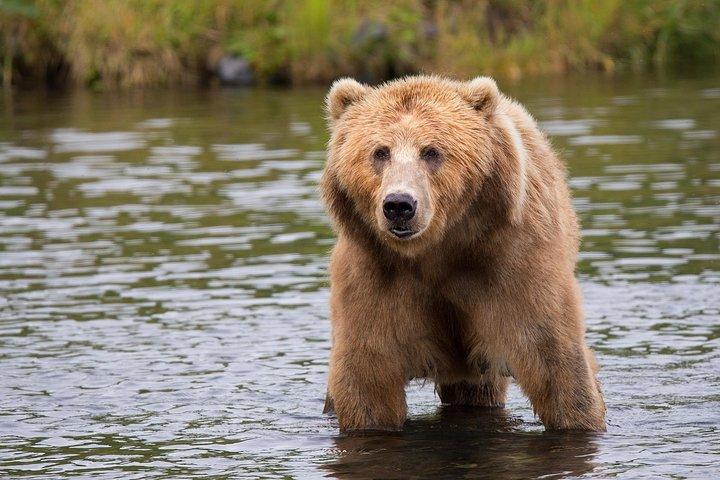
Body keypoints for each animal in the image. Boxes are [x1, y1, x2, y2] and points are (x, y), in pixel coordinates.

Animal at [319, 75, 606, 432]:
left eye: (431, 151)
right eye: (380, 152)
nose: (399, 205)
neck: (438, 250)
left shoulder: (513, 263)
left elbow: (554, 358)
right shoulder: (375, 274)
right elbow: (367, 376)